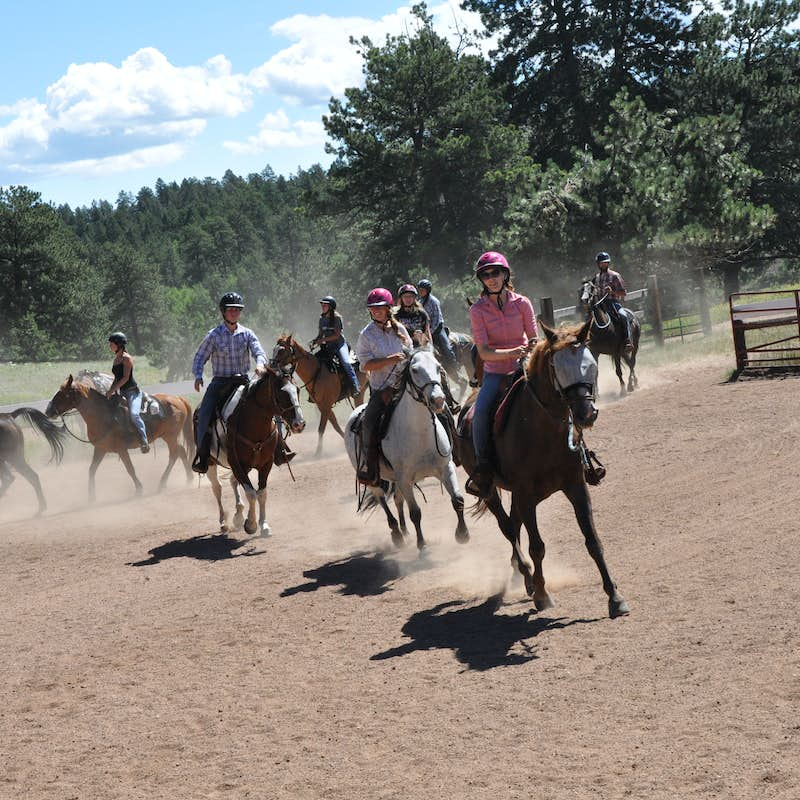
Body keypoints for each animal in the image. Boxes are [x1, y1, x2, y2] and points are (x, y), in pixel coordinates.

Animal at [46, 378, 195, 504]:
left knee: (174, 454)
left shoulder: (121, 449)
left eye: (62, 394)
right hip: (169, 436)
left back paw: (162, 483)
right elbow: (92, 470)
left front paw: (139, 489)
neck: (103, 415)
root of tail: (178, 398)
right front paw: (91, 497)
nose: (48, 411)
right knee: (181, 451)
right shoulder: (100, 448)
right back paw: (189, 479)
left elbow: (130, 469)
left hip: (170, 436)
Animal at [203, 368, 306, 536]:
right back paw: (224, 522)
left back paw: (238, 515)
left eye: (297, 390)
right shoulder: (236, 462)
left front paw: (264, 525)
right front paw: (250, 524)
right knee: (217, 488)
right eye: (281, 393)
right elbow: (251, 493)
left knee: (232, 481)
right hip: (211, 463)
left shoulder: (265, 463)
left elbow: (261, 494)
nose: (300, 424)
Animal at [344, 346, 468, 552]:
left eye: (438, 366)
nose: (438, 399)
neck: (420, 433)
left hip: (396, 480)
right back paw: (396, 534)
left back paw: (404, 531)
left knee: (397, 500)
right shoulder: (405, 478)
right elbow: (415, 513)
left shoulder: (445, 468)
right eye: (415, 370)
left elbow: (458, 499)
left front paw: (462, 534)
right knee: (382, 500)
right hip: (375, 478)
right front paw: (422, 545)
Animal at [456, 320, 632, 620]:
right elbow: (537, 547)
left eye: (590, 364)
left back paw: (522, 577)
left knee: (514, 524)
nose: (586, 414)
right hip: (491, 492)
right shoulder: (526, 495)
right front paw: (542, 594)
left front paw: (615, 597)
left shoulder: (576, 486)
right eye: (558, 367)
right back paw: (526, 576)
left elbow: (593, 541)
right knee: (508, 528)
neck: (542, 430)